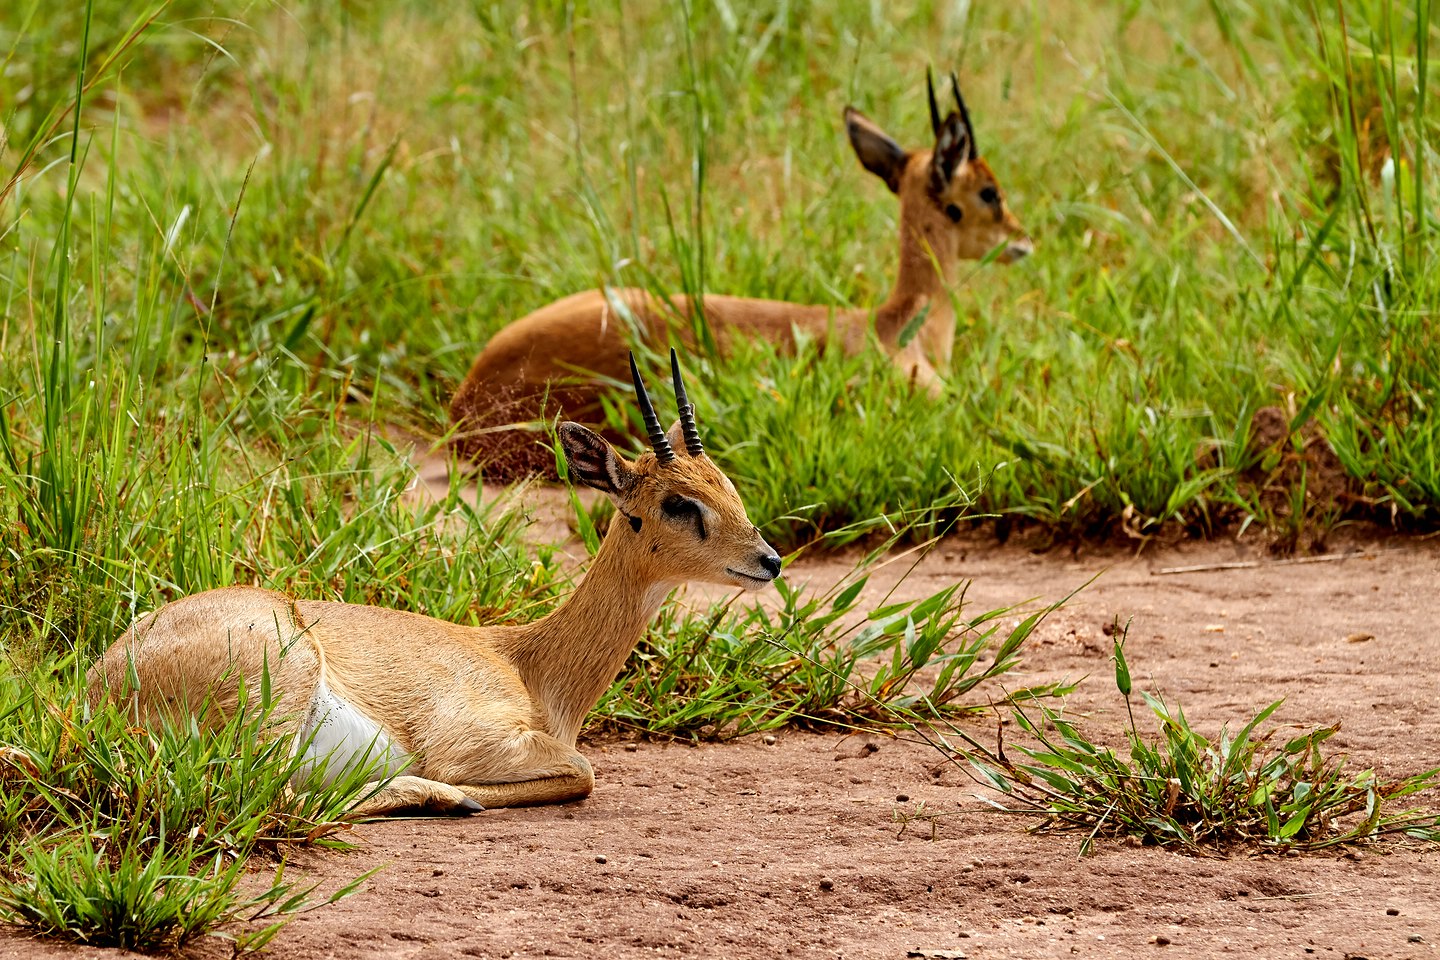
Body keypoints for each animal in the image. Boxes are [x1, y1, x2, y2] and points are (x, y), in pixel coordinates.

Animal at [91, 349, 783, 817]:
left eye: (726, 483)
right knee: (277, 792)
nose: (770, 560)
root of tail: (98, 684)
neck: (531, 667)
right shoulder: (474, 744)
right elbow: (582, 771)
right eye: (678, 503)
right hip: (282, 686)